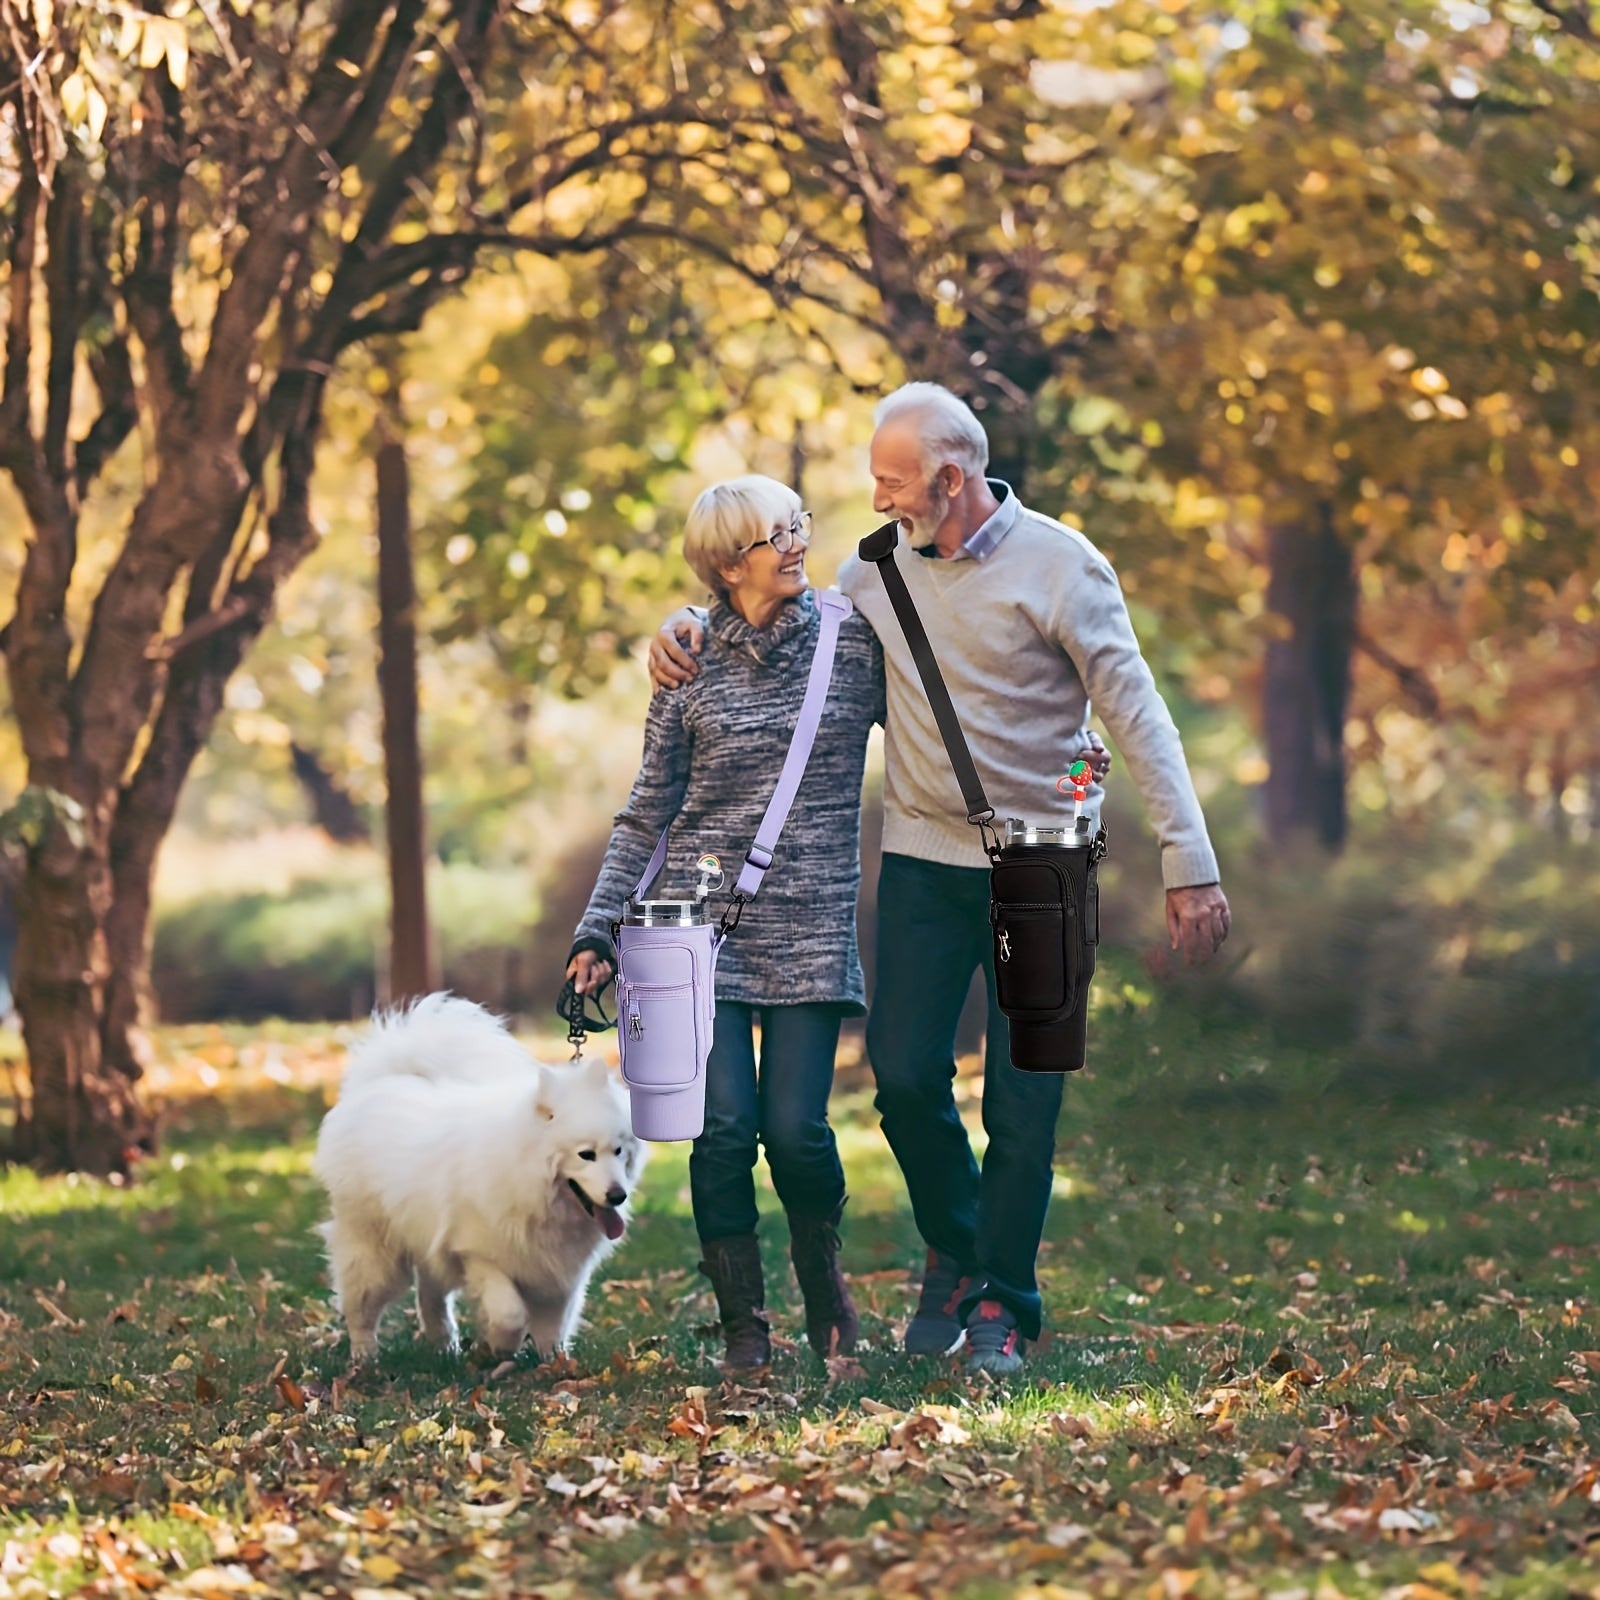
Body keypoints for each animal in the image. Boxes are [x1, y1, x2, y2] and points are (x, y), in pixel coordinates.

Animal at [312, 992, 643, 1356]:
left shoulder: (557, 1275)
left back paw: (443, 1344)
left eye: (618, 1151)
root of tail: (384, 1080)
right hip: (373, 1248)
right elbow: (510, 1314)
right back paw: (365, 1356)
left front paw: (555, 1364)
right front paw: (500, 1349)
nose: (618, 1195)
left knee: (429, 1296)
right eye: (586, 1154)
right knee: (361, 1307)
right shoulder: (479, 1254)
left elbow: (553, 1329)